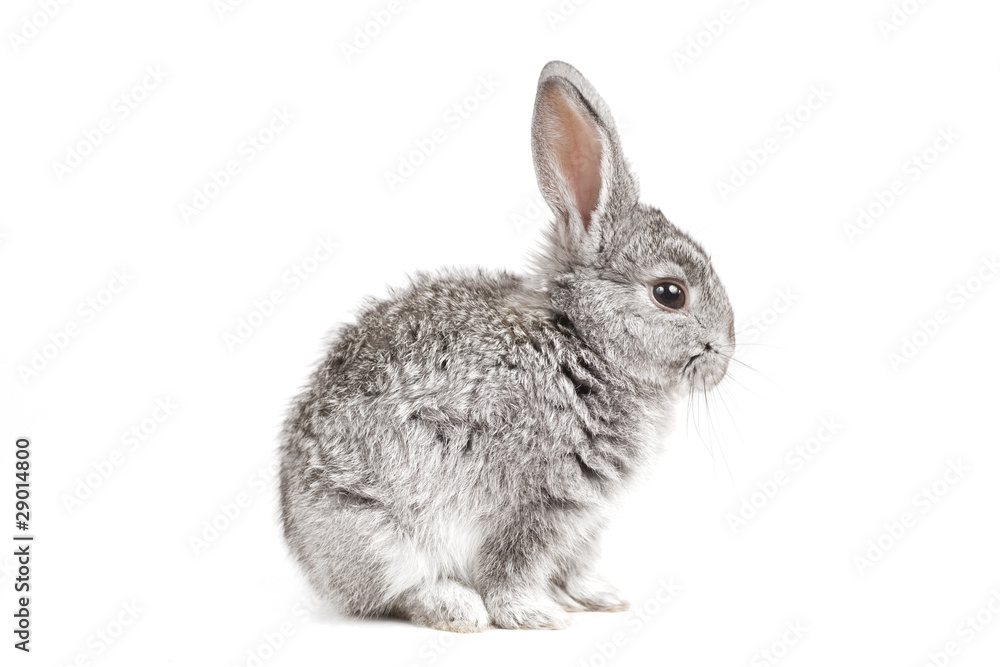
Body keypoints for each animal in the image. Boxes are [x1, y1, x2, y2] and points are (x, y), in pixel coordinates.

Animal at [278, 60, 735, 632]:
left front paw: (596, 598)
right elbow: (513, 566)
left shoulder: (585, 519)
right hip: (381, 532)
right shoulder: (536, 502)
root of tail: (305, 549)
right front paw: (534, 615)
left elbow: (573, 564)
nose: (724, 354)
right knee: (397, 590)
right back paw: (455, 607)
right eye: (670, 293)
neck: (583, 341)